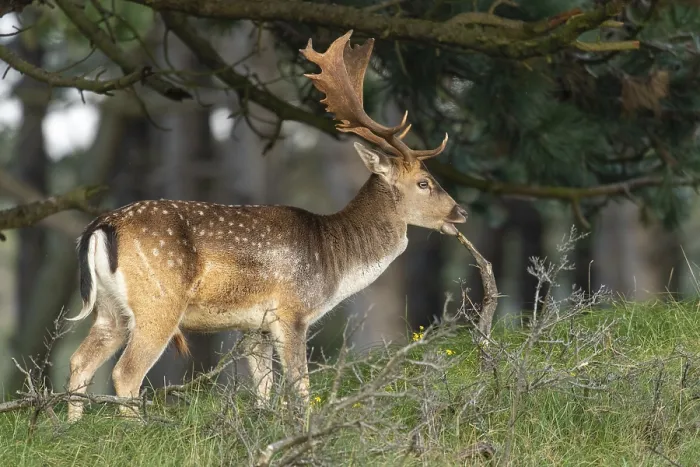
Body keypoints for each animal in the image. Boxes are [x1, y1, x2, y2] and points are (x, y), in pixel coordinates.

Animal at [65, 30, 467, 422]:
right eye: (424, 183)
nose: (460, 212)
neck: (334, 258)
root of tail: (101, 225)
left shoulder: (253, 325)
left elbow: (264, 390)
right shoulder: (291, 311)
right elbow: (300, 386)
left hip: (110, 310)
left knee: (79, 361)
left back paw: (69, 426)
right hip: (158, 300)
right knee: (125, 373)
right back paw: (136, 429)